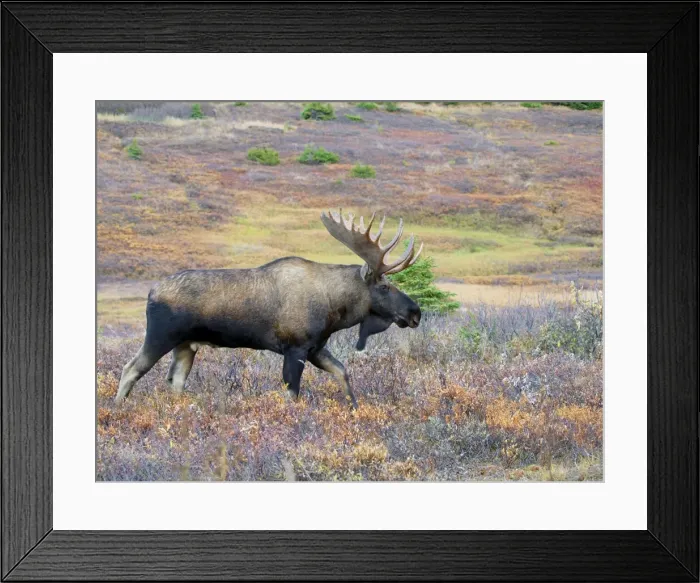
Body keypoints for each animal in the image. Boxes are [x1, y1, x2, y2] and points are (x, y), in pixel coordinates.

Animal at [115, 210, 423, 408]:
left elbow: (342, 372)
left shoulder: (316, 348)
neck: (335, 309)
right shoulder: (295, 347)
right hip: (161, 336)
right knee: (130, 368)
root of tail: (150, 293)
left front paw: (354, 408)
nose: (415, 312)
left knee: (175, 381)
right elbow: (292, 394)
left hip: (186, 345)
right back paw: (117, 409)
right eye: (384, 286)